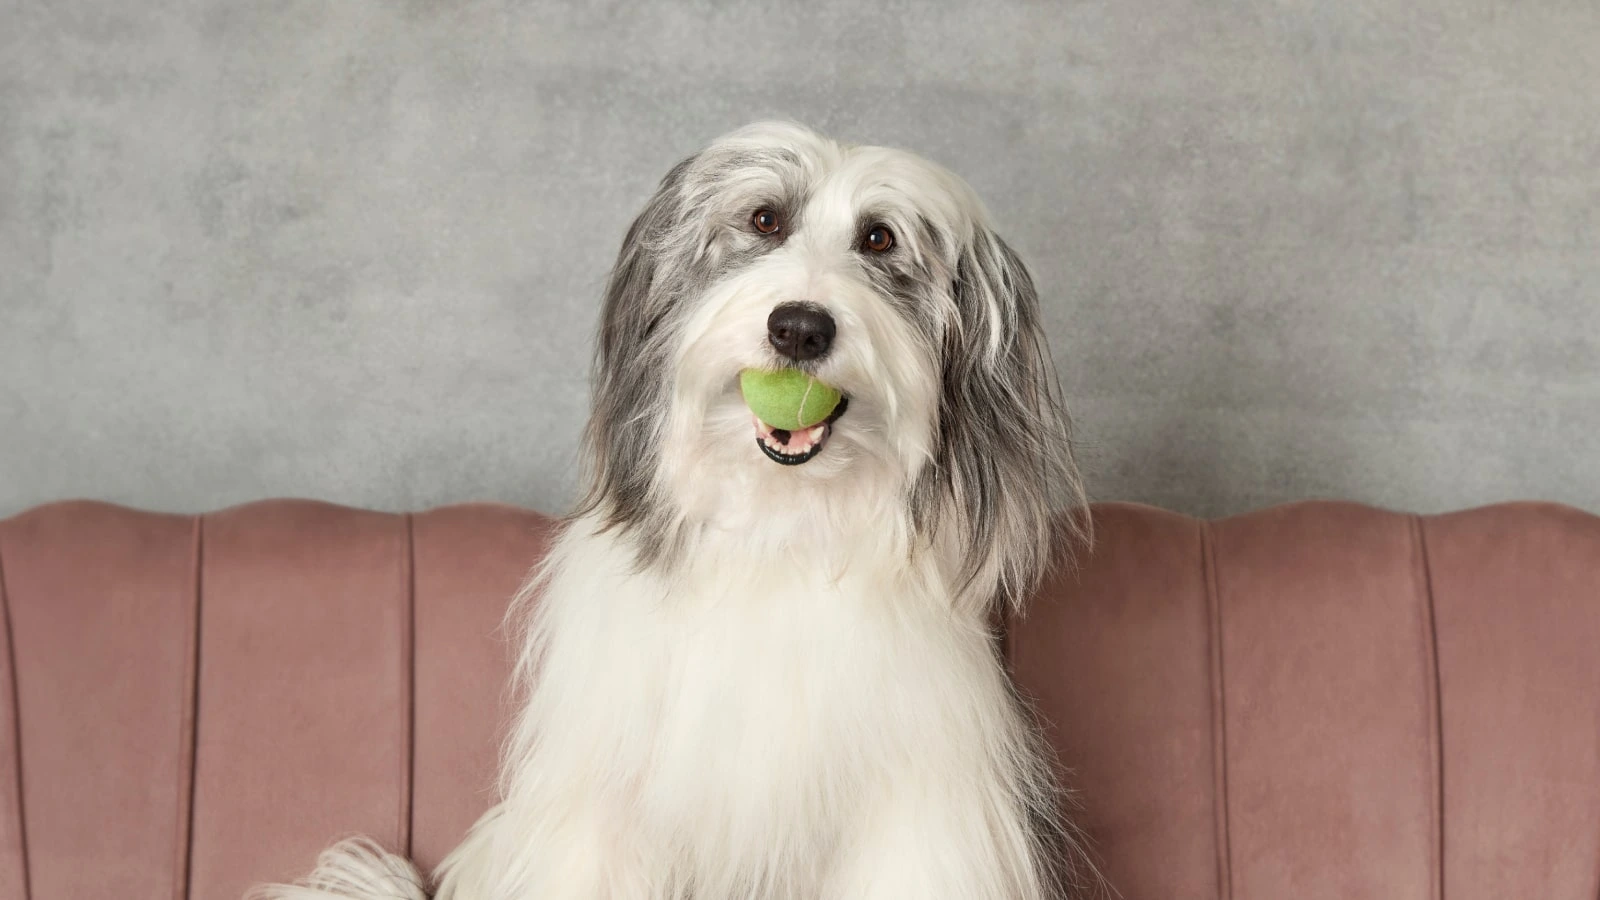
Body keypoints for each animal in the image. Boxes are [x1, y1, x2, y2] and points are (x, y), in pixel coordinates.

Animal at [249, 120, 1094, 896]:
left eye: (880, 239)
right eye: (765, 220)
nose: (800, 328)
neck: (776, 534)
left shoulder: (916, 815)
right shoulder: (604, 809)